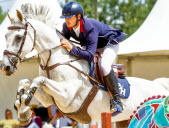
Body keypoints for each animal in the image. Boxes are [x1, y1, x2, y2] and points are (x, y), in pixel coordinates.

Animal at [0, 4, 169, 125]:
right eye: (6, 36)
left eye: (18, 37)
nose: (5, 67)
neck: (53, 61)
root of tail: (160, 85)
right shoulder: (50, 100)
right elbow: (25, 81)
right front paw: (23, 110)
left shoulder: (68, 97)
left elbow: (38, 80)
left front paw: (25, 105)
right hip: (125, 120)